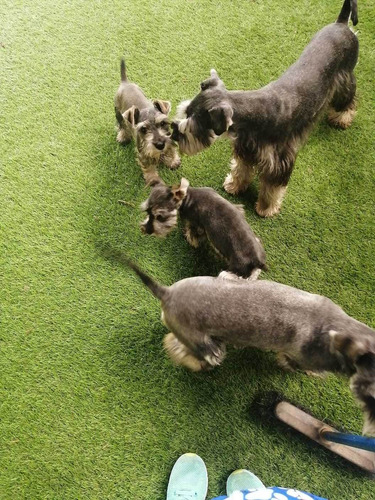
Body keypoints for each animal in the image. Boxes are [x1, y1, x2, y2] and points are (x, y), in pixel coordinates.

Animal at [122, 260, 375, 436]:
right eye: (369, 394)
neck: (333, 328)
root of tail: (166, 292)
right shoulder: (298, 356)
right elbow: (294, 363)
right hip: (203, 342)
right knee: (180, 348)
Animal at [140, 176, 268, 280]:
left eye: (160, 217)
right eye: (147, 211)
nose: (145, 230)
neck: (189, 197)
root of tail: (257, 261)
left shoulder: (196, 225)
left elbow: (193, 234)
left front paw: (189, 239)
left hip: (232, 272)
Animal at [172, 0, 360, 218]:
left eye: (192, 129)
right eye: (184, 112)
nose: (173, 134)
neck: (256, 112)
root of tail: (341, 24)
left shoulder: (278, 163)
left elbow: (272, 187)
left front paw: (266, 207)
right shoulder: (246, 148)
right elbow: (241, 169)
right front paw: (234, 185)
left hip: (345, 80)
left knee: (347, 101)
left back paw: (342, 119)